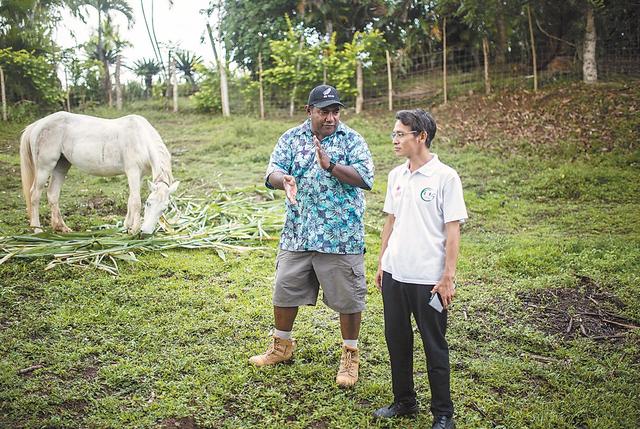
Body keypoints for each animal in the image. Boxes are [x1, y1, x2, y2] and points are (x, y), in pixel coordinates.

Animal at [19, 112, 179, 234]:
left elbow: (130, 200)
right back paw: (37, 229)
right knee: (34, 195)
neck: (141, 138)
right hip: (44, 168)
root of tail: (38, 124)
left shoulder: (138, 176)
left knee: (52, 194)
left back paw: (62, 228)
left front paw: (127, 226)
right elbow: (135, 201)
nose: (145, 232)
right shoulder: (133, 172)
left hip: (61, 166)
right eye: (148, 203)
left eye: (164, 208)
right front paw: (133, 230)